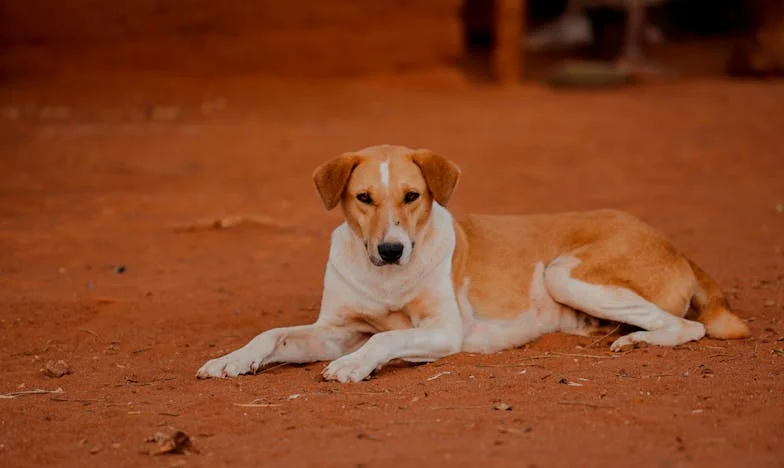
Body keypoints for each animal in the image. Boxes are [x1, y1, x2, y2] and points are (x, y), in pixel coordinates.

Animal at [194, 144, 748, 382]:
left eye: (412, 196)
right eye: (364, 198)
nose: (391, 250)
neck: (387, 278)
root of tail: (674, 245)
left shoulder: (442, 331)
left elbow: (386, 339)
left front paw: (354, 365)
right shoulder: (335, 329)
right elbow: (273, 335)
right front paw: (232, 359)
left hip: (562, 272)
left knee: (689, 327)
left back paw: (635, 340)